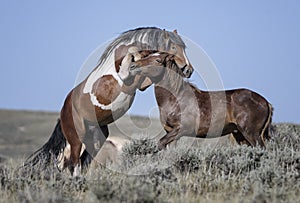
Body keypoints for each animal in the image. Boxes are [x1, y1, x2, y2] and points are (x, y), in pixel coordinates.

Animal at [25, 27, 195, 176]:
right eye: (173, 46)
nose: (189, 70)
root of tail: (62, 114)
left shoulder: (141, 84)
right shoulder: (125, 80)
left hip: (97, 139)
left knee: (83, 162)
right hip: (76, 139)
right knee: (74, 163)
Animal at [126, 52, 274, 149]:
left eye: (157, 60)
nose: (132, 66)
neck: (176, 98)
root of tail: (266, 102)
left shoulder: (180, 130)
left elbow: (160, 144)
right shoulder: (170, 132)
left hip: (251, 133)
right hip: (240, 135)